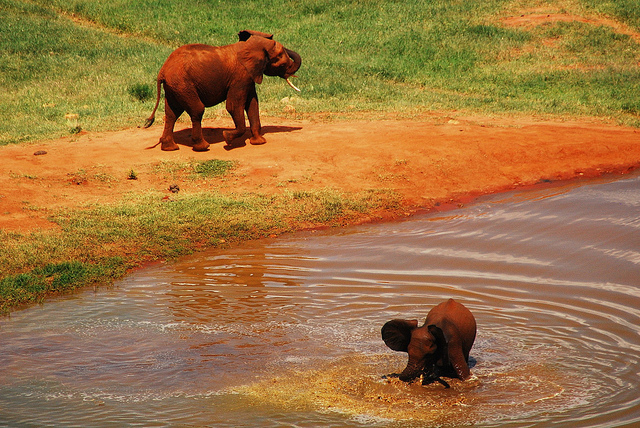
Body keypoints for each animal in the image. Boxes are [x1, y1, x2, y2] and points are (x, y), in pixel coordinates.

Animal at [145, 30, 302, 150]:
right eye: (280, 59)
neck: (250, 45)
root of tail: (162, 71)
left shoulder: (248, 77)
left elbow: (253, 105)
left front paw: (259, 142)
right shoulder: (240, 77)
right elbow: (233, 106)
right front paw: (227, 138)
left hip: (174, 87)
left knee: (172, 113)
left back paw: (170, 148)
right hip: (182, 84)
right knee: (197, 110)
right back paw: (203, 147)